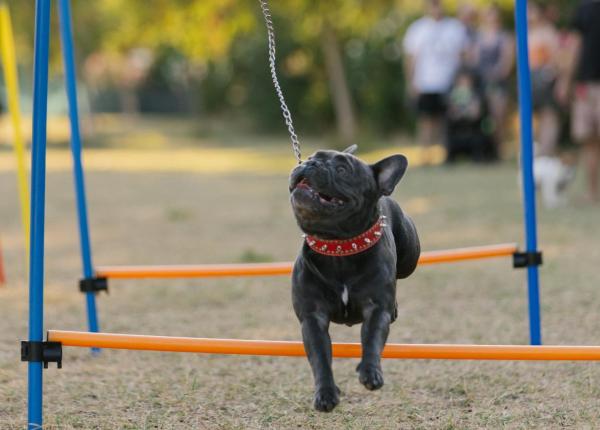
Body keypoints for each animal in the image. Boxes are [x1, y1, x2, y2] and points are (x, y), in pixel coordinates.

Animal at [288, 146, 420, 412]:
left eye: (342, 169)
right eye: (311, 157)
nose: (310, 164)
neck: (339, 248)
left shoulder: (375, 309)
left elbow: (372, 339)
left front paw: (370, 372)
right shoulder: (312, 318)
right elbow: (320, 357)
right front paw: (325, 394)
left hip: (410, 259)